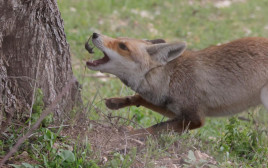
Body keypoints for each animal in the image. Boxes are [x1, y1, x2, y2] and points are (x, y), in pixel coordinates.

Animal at [86, 32, 268, 135]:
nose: (94, 34)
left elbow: (154, 128)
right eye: (118, 39)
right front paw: (117, 102)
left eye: (122, 46)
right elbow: (140, 98)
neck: (171, 78)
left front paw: (132, 134)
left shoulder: (195, 118)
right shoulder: (175, 109)